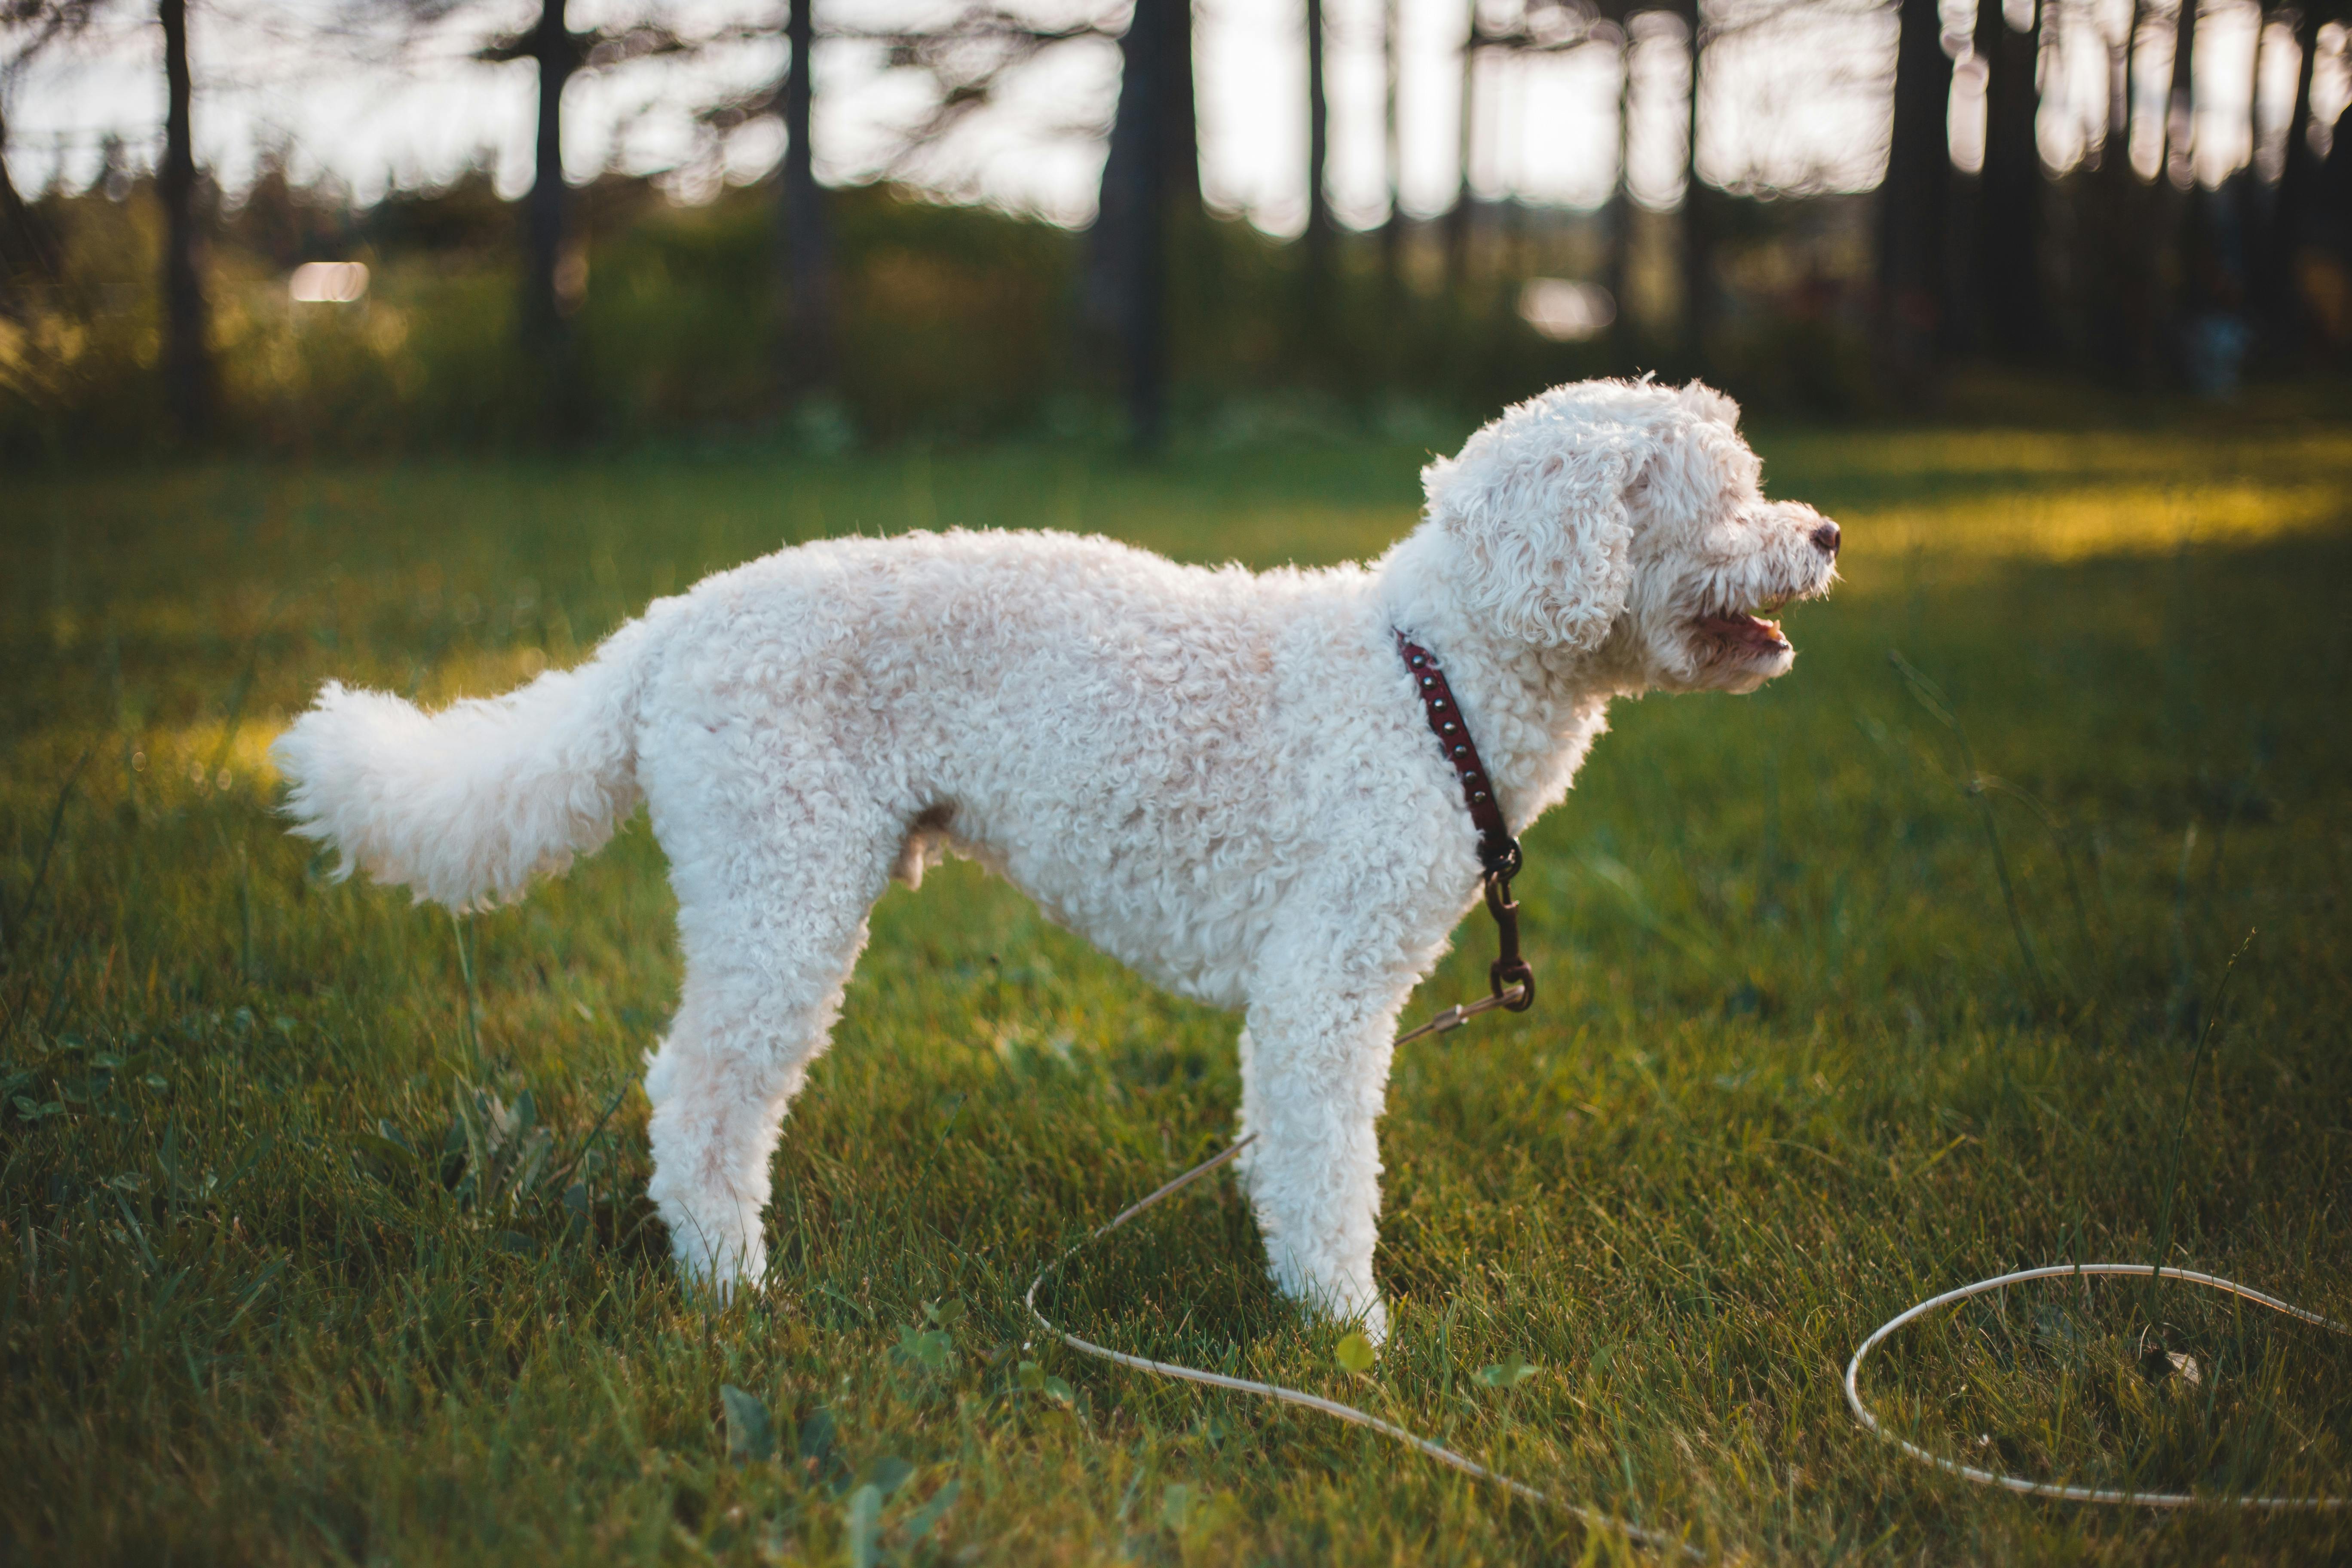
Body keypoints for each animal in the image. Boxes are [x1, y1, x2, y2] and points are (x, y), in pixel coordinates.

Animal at [270, 376, 1834, 1335]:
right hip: (782, 882)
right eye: (1720, 494)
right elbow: (1329, 1169)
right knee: (703, 1093)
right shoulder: (1322, 989)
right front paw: (1347, 1333)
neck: (1430, 668)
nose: (1824, 529)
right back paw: (729, 1287)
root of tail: (670, 628)